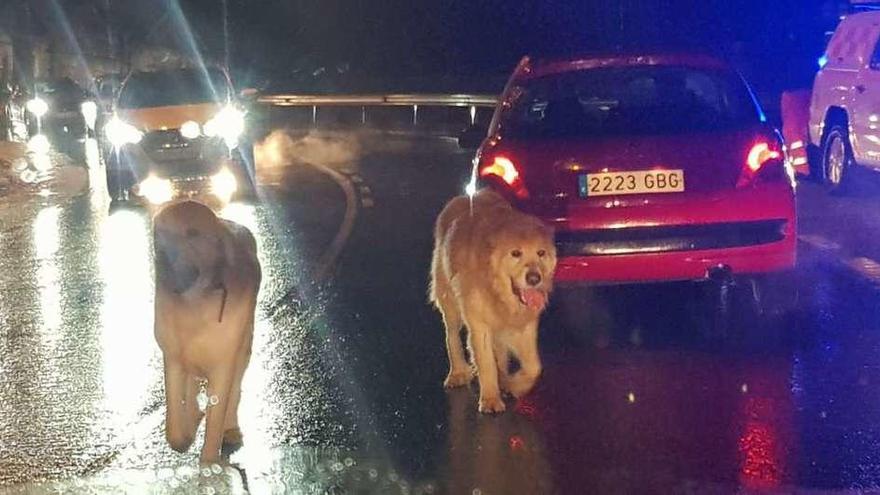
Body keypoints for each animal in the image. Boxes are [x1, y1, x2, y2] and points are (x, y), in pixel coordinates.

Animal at [153, 201, 262, 464]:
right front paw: (185, 434)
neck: (194, 304)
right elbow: (174, 426)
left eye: (193, 233)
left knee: (235, 390)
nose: (161, 261)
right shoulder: (173, 358)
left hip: (244, 349)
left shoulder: (224, 363)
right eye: (157, 234)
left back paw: (230, 427)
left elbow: (218, 415)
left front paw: (210, 459)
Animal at [432, 190, 556, 414]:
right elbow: (486, 362)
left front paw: (513, 386)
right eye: (515, 253)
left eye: (541, 253)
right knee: (451, 336)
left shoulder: (525, 325)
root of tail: (464, 197)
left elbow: (534, 367)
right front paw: (490, 399)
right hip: (450, 303)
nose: (534, 278)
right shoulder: (479, 325)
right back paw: (458, 372)